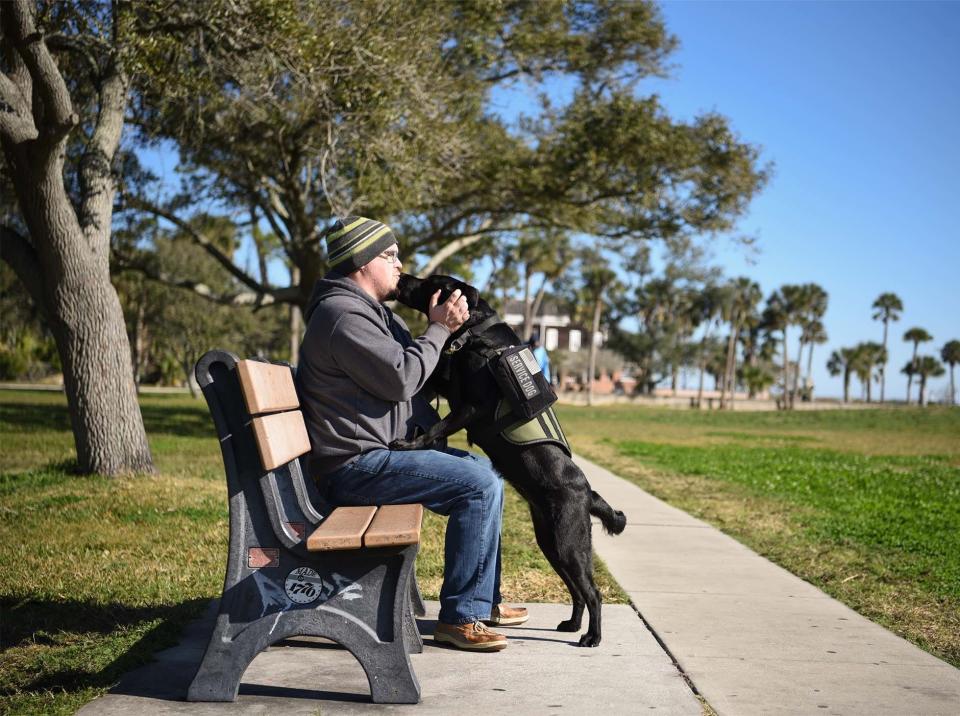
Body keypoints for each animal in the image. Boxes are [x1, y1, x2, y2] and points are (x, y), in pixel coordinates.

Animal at [394, 272, 628, 648]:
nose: (401, 276)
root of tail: (588, 493)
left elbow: (434, 430)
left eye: (431, 283)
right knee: (578, 590)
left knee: (592, 592)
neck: (477, 332)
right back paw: (572, 625)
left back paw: (592, 636)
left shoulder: (469, 407)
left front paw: (408, 444)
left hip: (569, 543)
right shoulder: (448, 386)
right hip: (551, 543)